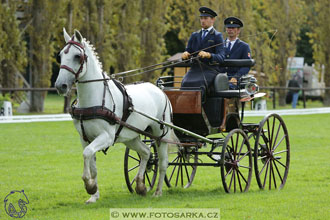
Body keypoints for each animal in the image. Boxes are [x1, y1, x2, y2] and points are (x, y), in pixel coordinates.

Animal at [54, 28, 173, 204]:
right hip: (131, 136)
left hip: (160, 134)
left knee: (163, 162)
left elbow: (87, 153)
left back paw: (157, 192)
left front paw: (89, 185)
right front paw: (94, 194)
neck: (93, 98)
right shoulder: (84, 138)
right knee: (146, 152)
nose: (60, 86)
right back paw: (140, 186)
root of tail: (160, 90)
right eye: (61, 55)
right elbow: (92, 164)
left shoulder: (107, 137)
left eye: (77, 56)